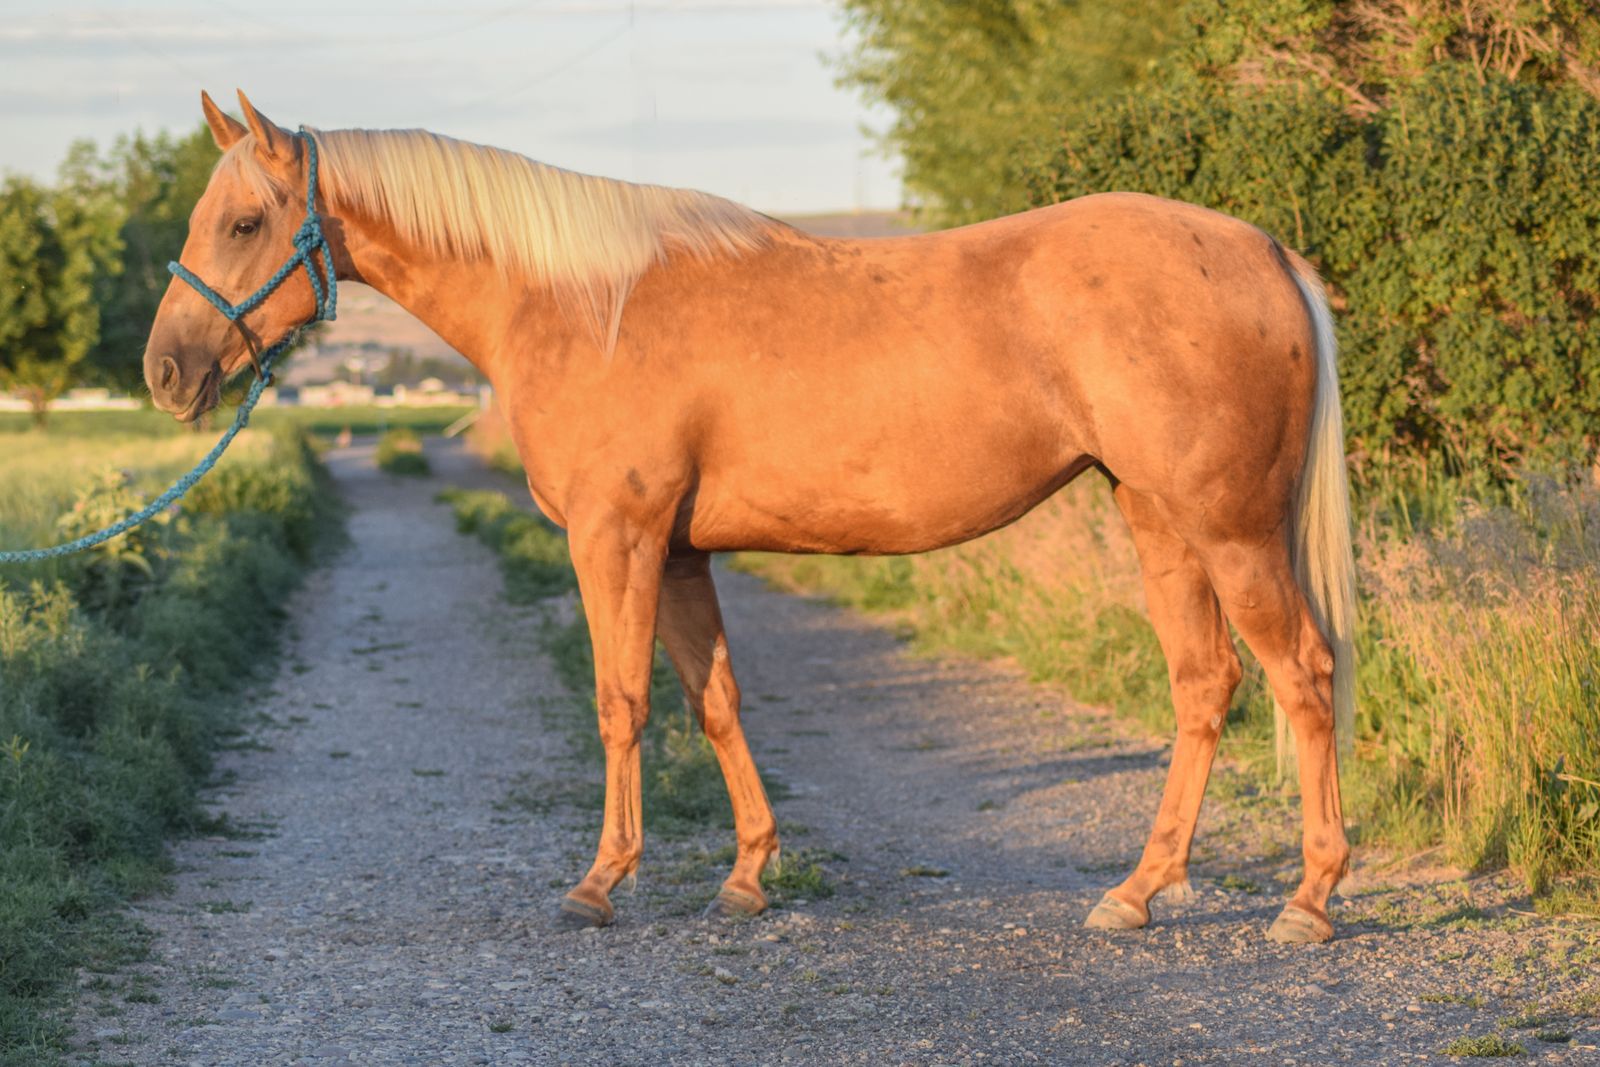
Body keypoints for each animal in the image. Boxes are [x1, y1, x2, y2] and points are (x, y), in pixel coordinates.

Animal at [147, 90, 1357, 945]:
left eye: (246, 221)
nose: (165, 371)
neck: (583, 303)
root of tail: (1263, 252)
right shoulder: (681, 551)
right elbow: (715, 700)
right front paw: (746, 876)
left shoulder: (617, 539)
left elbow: (621, 702)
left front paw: (600, 883)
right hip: (1157, 520)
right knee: (1206, 684)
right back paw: (1139, 891)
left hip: (1230, 529)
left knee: (1300, 673)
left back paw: (1307, 899)